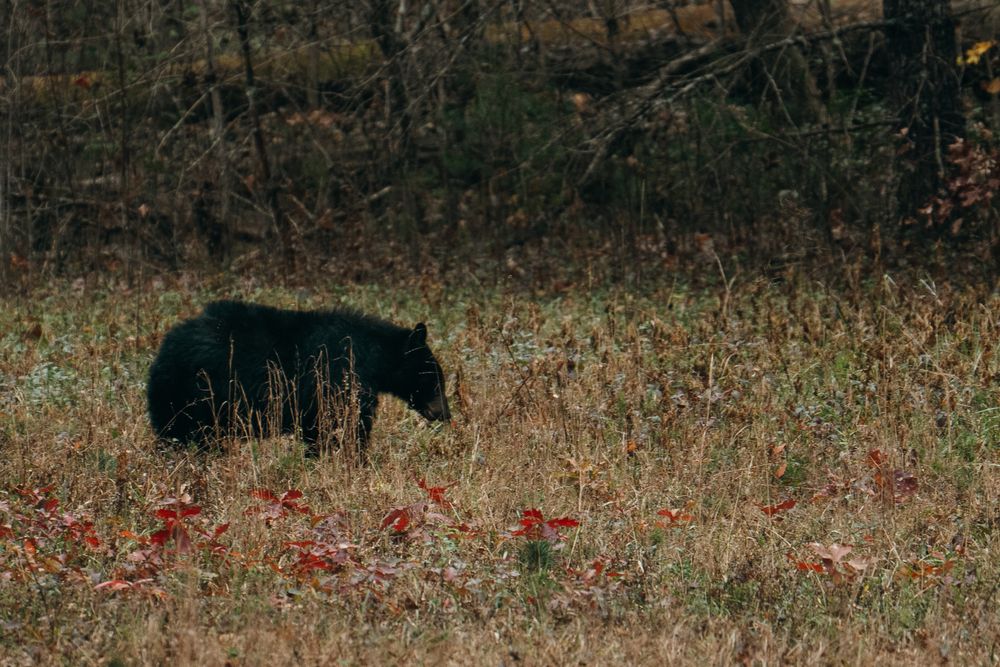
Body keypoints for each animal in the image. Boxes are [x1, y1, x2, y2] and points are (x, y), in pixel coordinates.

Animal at [147, 300, 450, 454]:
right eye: (434, 378)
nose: (445, 414)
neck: (375, 357)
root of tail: (164, 351)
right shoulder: (338, 380)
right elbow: (344, 425)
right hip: (200, 395)